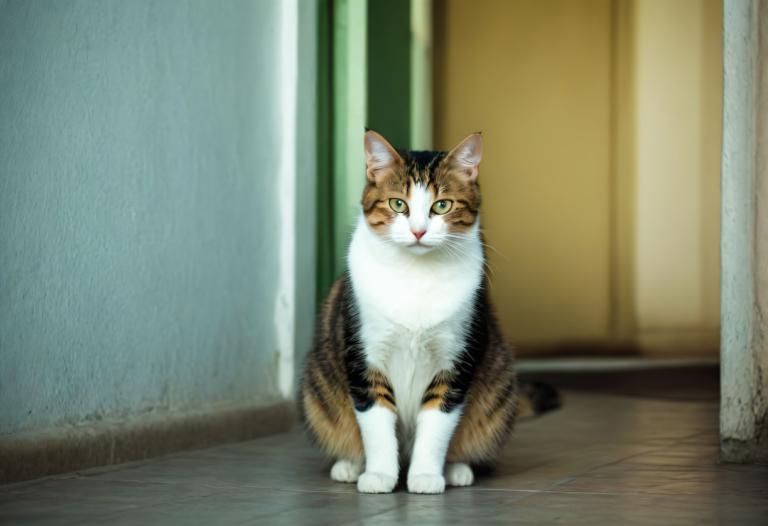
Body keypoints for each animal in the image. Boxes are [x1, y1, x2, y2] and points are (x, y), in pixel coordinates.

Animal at [296, 131, 556, 496]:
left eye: (442, 205)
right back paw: (349, 466)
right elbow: (375, 422)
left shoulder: (455, 359)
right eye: (398, 204)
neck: (416, 274)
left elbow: (437, 423)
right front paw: (379, 475)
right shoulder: (364, 356)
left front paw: (426, 476)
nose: (418, 231)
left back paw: (457, 469)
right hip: (316, 390)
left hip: (499, 388)